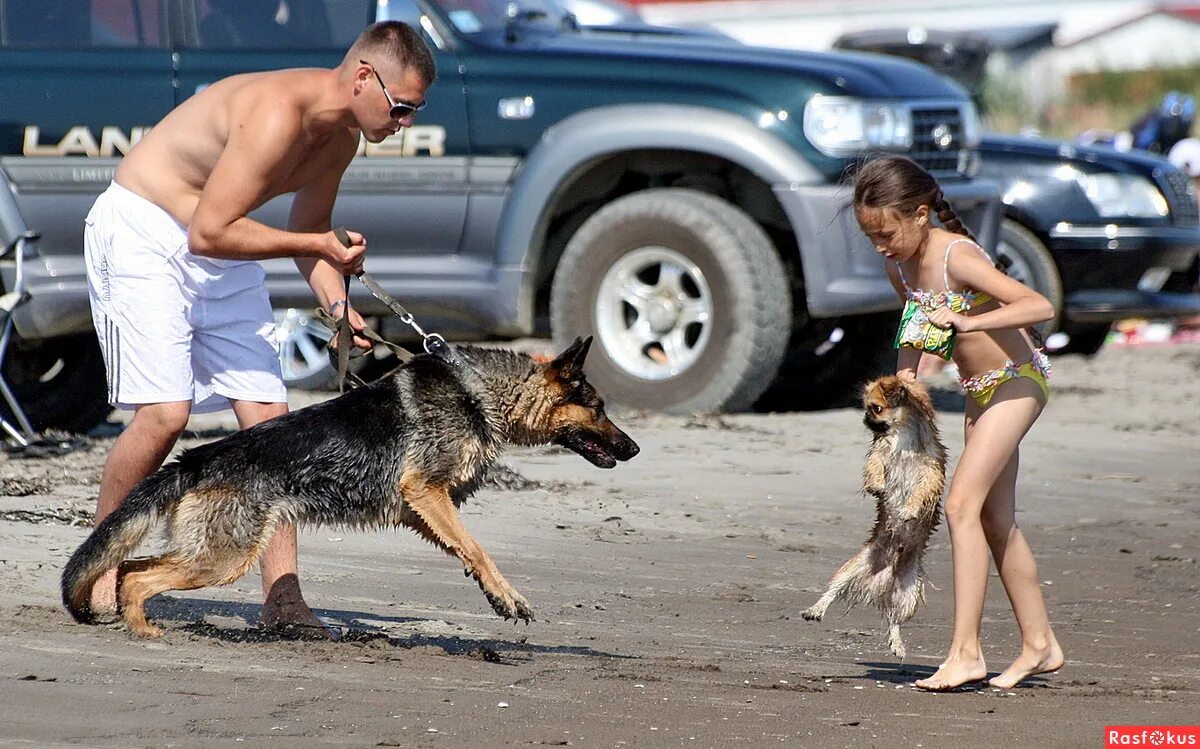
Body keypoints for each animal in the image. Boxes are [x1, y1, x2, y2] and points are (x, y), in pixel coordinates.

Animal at [65, 338, 643, 638]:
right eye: (599, 408)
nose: (635, 449)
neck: (480, 394)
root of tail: (199, 456)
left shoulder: (421, 508)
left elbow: (465, 548)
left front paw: (491, 591)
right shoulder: (425, 491)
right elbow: (480, 548)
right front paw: (509, 596)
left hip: (209, 553)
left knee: (130, 568)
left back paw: (130, 620)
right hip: (221, 559)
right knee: (140, 576)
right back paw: (142, 630)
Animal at [796, 374, 945, 652]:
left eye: (875, 408)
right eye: (866, 407)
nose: (864, 417)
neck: (903, 435)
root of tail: (883, 581)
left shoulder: (931, 470)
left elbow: (920, 492)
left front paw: (908, 509)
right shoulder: (879, 454)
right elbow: (874, 467)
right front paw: (877, 486)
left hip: (909, 592)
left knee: (894, 618)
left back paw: (897, 644)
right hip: (851, 568)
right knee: (833, 591)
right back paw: (816, 610)